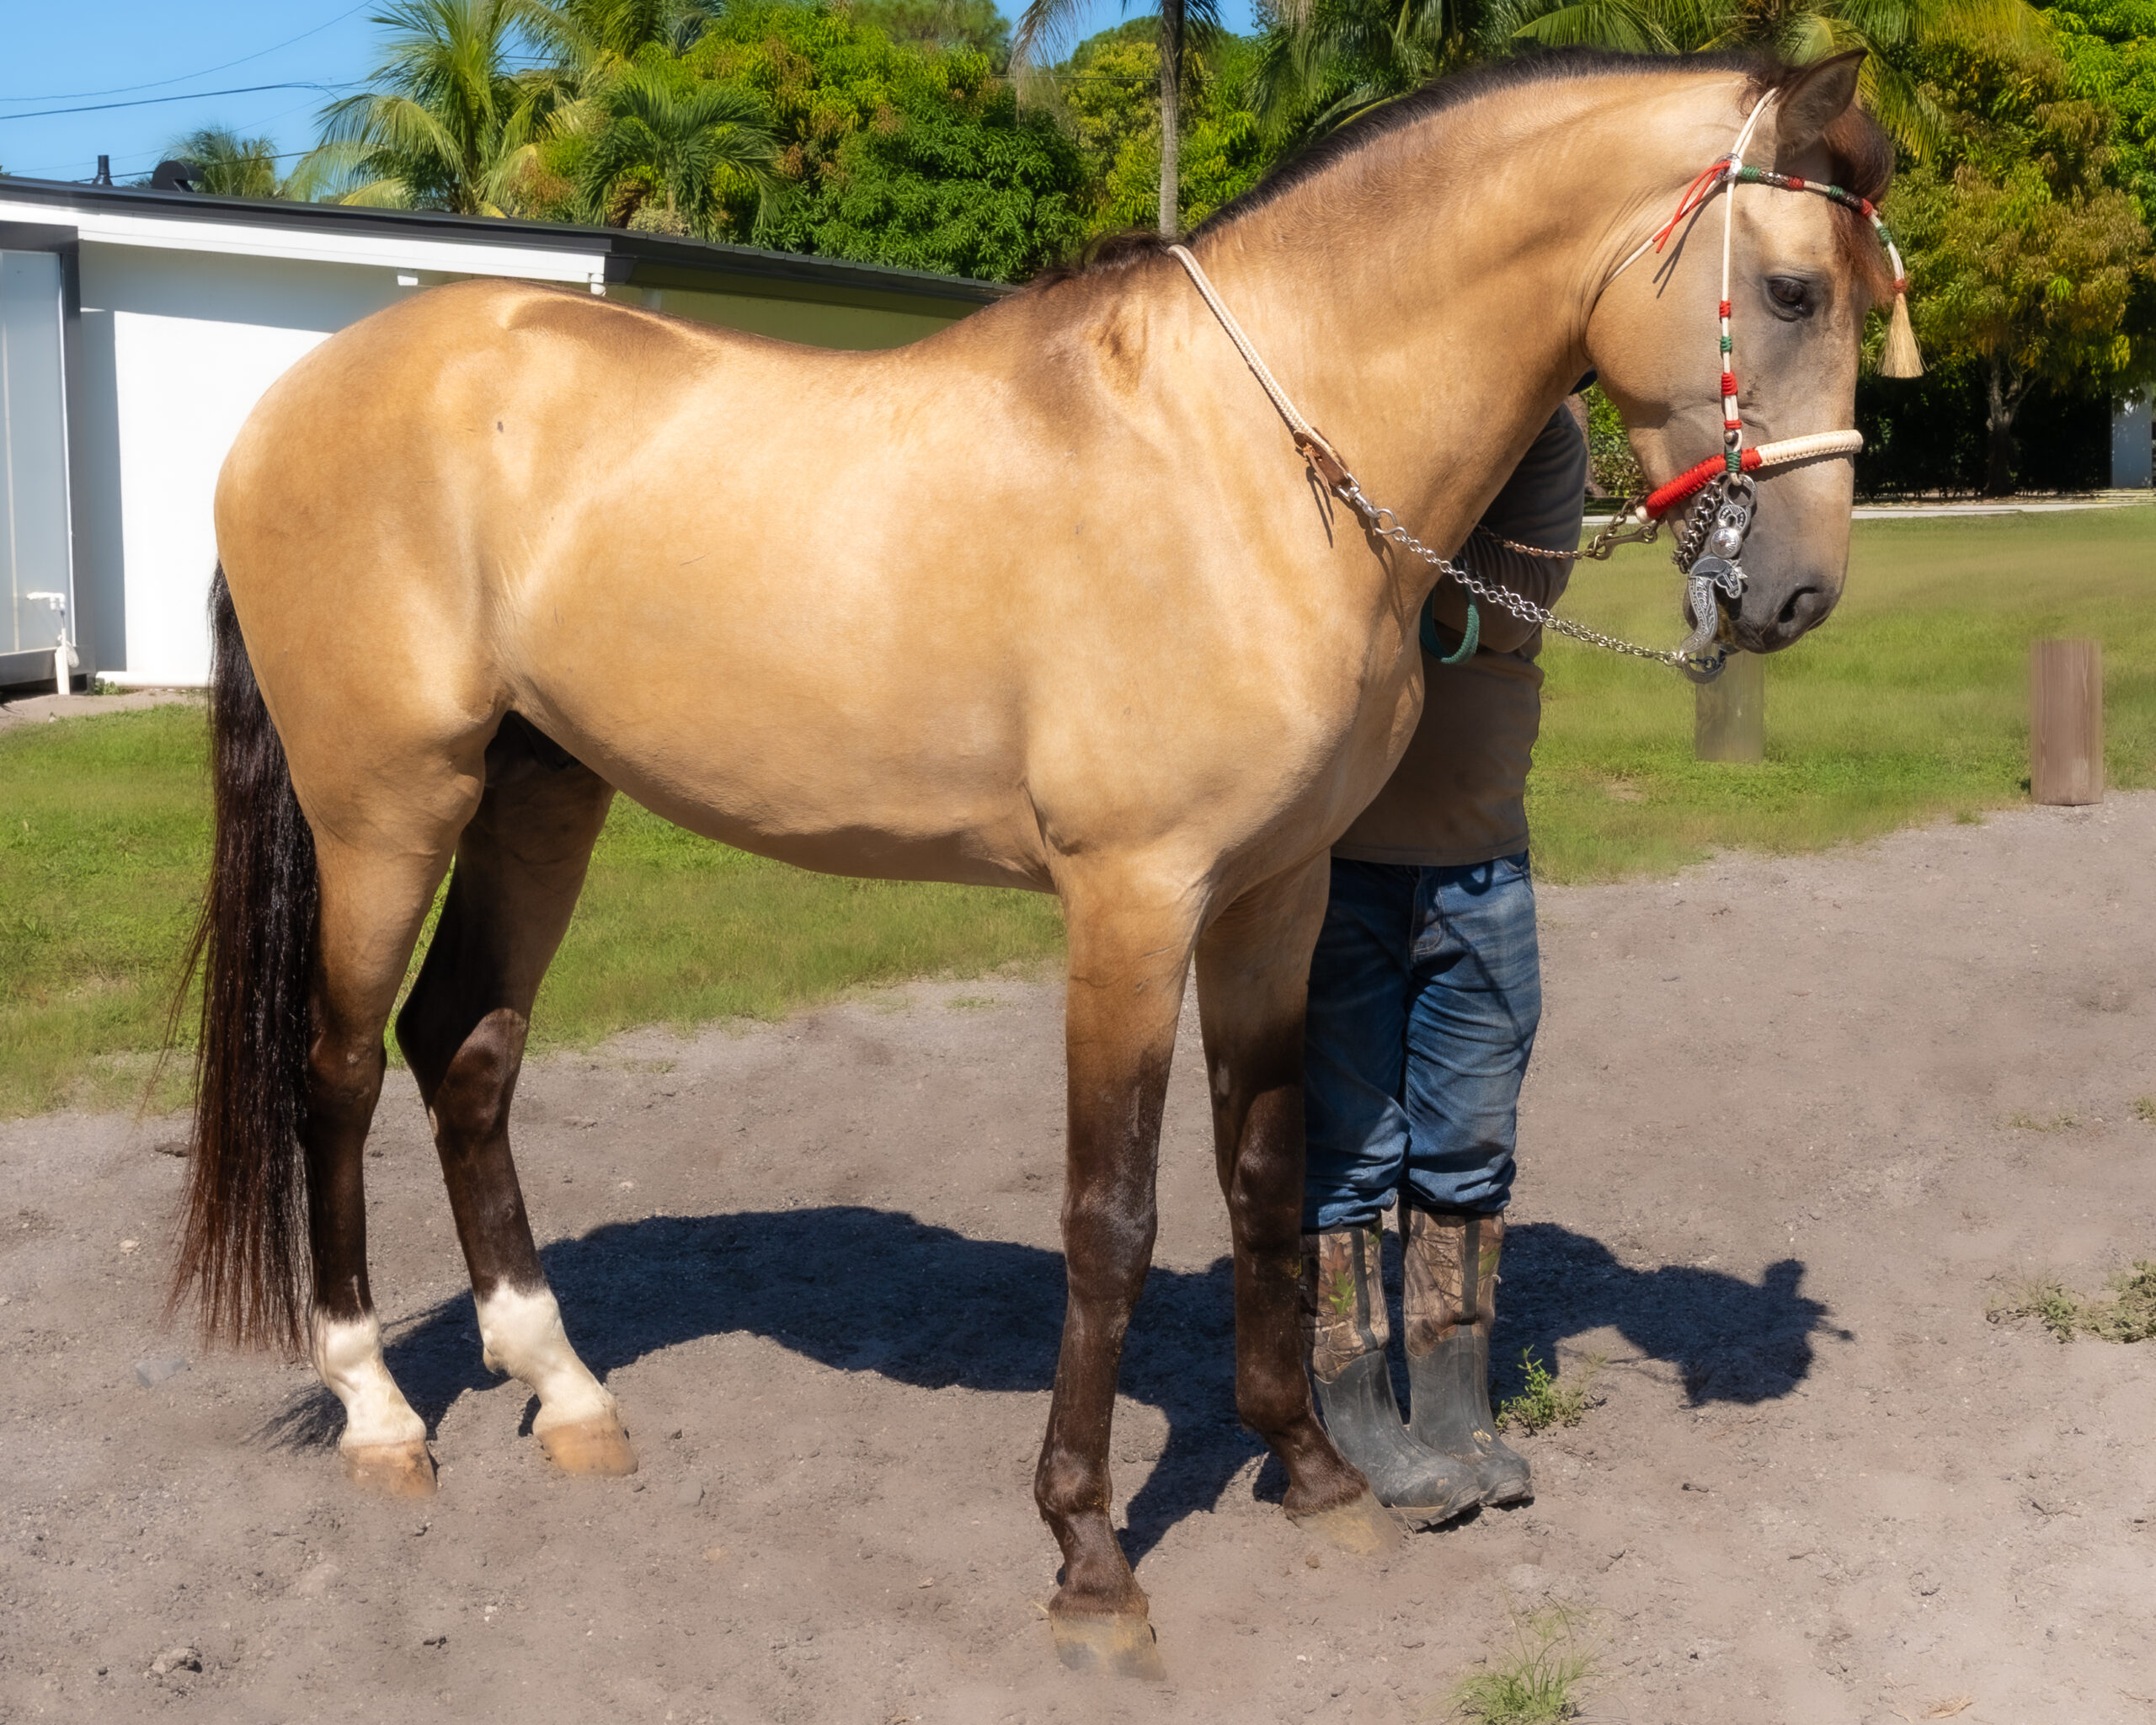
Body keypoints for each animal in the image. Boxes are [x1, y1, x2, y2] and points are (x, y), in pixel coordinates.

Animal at [174, 47, 1893, 1674]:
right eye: (1792, 288)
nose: (1801, 595)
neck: (1243, 461)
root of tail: (288, 404)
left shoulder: (1273, 898)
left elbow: (1267, 1175)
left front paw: (1314, 1472)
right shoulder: (1131, 904)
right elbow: (1111, 1218)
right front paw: (1089, 1558)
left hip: (542, 795)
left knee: (465, 1050)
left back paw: (566, 1388)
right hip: (387, 807)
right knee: (337, 1068)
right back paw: (381, 1413)